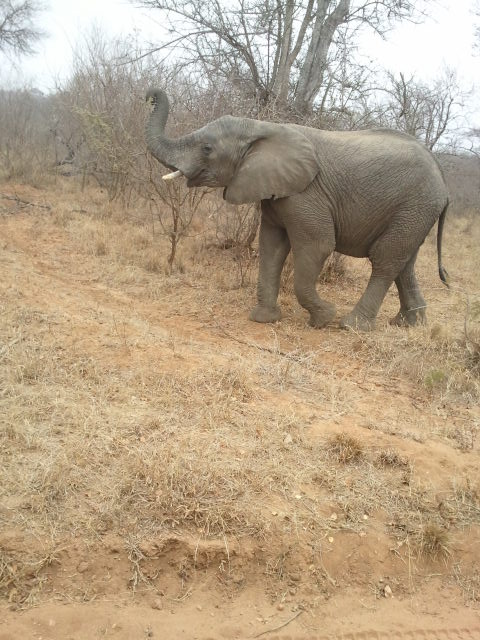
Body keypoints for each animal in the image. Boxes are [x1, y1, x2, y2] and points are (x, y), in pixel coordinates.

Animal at [144, 89, 448, 330]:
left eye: (207, 148)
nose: (150, 95)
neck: (260, 126)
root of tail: (441, 175)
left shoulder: (306, 194)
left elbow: (317, 245)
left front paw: (323, 318)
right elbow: (271, 246)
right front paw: (263, 319)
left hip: (416, 204)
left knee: (385, 258)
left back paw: (351, 326)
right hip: (414, 210)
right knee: (404, 261)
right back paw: (409, 324)